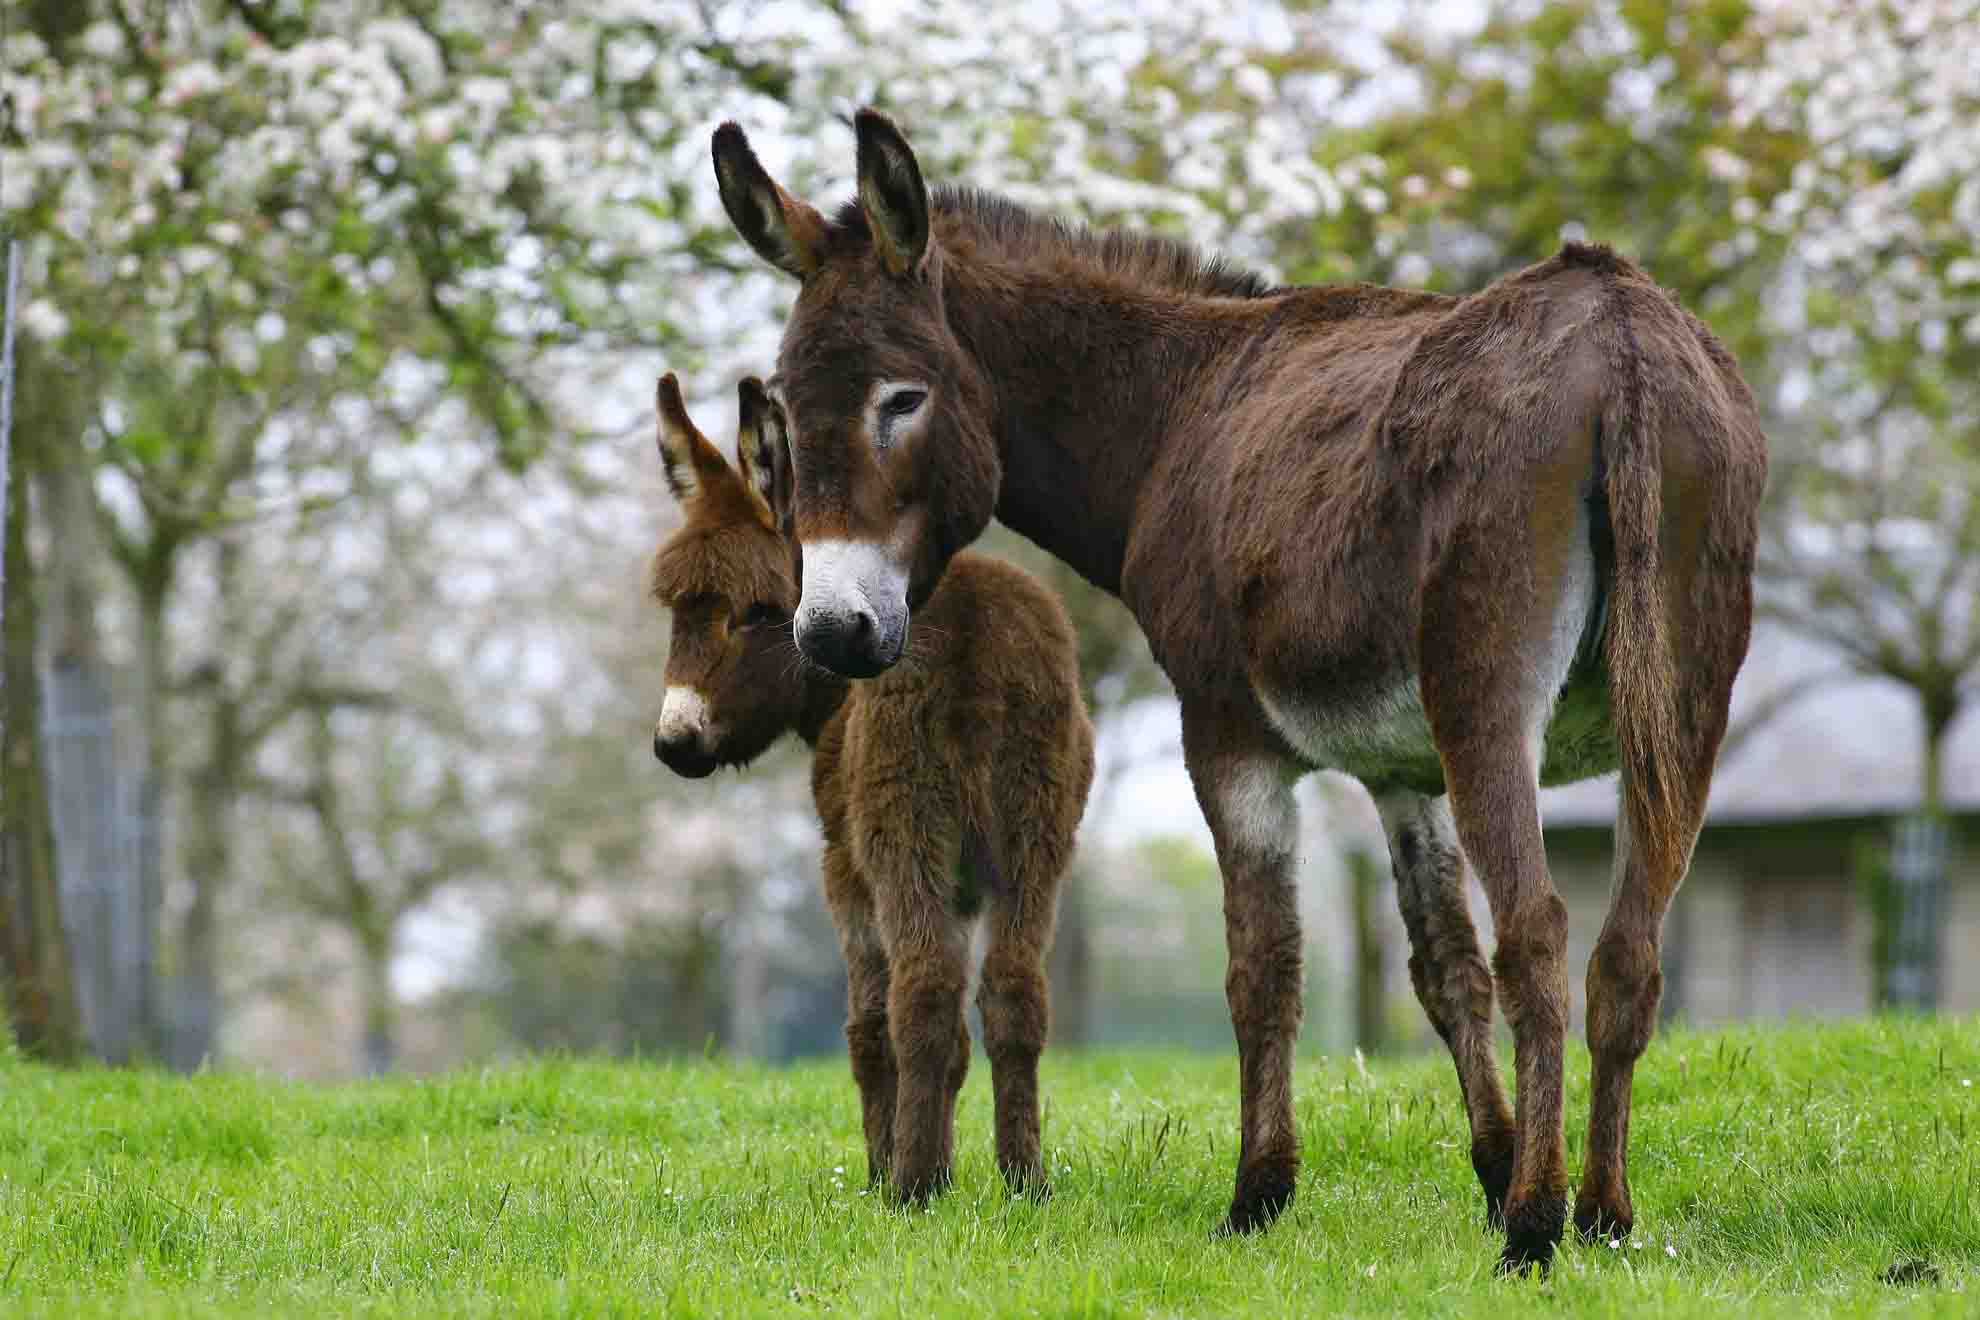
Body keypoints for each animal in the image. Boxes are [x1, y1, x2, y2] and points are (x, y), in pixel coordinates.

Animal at [645, 374, 1092, 1211]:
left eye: (754, 614)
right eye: (679, 612)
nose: (675, 743)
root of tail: (980, 631)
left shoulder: (846, 868)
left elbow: (868, 1027)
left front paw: (893, 1170)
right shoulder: (971, 884)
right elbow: (958, 1043)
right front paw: (944, 1165)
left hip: (903, 828)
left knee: (922, 993)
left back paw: (908, 1189)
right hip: (1037, 835)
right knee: (1015, 995)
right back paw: (1024, 1182)